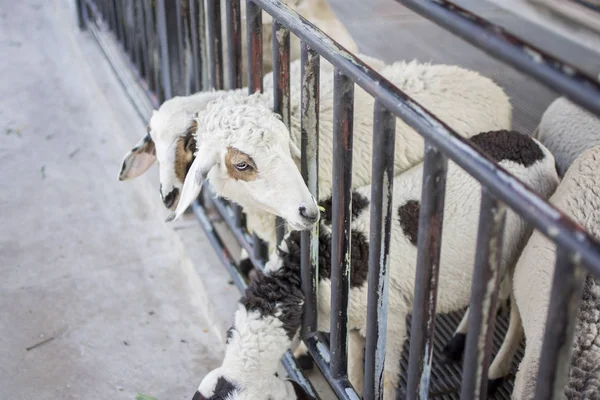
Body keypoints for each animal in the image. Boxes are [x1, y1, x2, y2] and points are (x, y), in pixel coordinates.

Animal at [191, 130, 556, 398]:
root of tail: (533, 145)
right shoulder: (351, 322)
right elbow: (352, 369)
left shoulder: (389, 321)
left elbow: (388, 379)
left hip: (529, 250)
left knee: (519, 314)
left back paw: (493, 368)